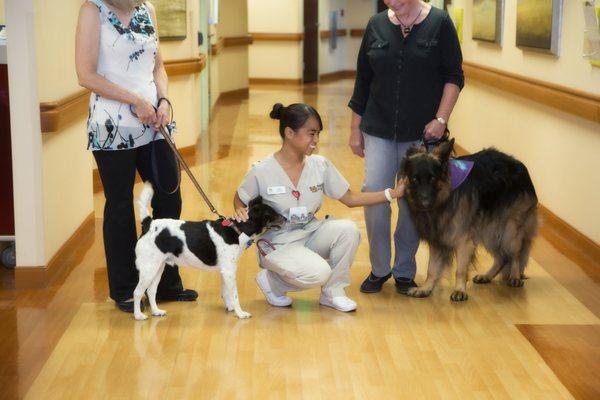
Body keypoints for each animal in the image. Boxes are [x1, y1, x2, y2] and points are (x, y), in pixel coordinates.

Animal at [135, 183, 284, 320]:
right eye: (272, 214)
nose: (286, 218)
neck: (237, 230)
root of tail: (148, 224)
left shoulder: (225, 271)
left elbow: (226, 292)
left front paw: (230, 307)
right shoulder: (229, 271)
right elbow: (234, 295)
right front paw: (240, 313)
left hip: (157, 268)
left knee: (151, 291)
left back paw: (156, 311)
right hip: (148, 269)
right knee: (137, 293)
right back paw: (138, 315)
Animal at [400, 139, 536, 302]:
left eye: (432, 178)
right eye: (415, 179)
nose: (425, 204)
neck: (446, 195)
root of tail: (520, 166)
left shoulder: (463, 240)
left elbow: (460, 270)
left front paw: (459, 290)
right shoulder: (437, 238)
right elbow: (432, 268)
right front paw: (426, 288)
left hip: (509, 230)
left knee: (515, 254)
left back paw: (515, 276)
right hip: (490, 230)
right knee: (502, 257)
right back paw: (487, 276)